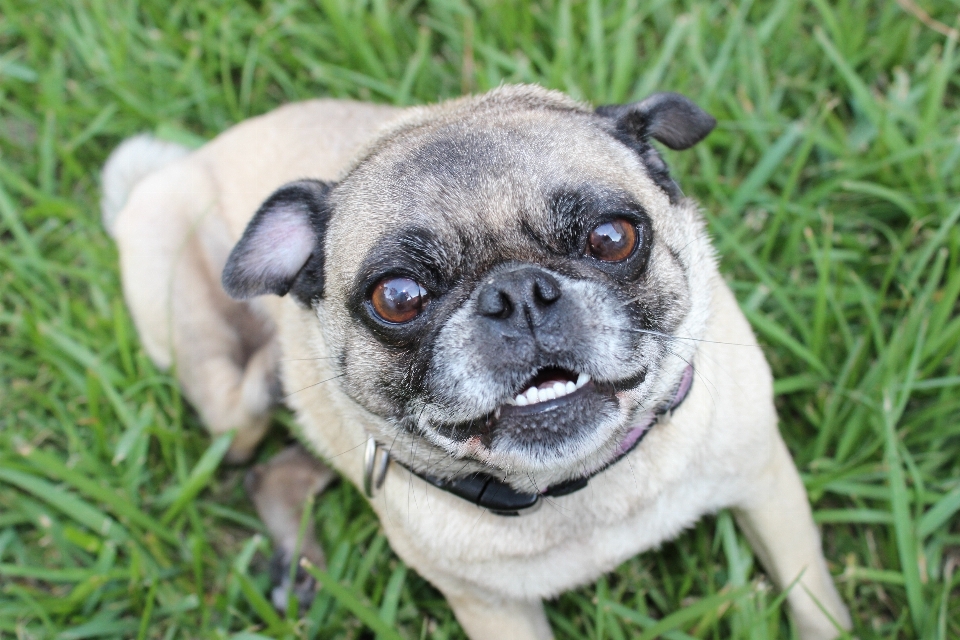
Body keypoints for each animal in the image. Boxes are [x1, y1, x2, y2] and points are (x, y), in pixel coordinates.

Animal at [105, 86, 852, 640]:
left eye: (612, 238)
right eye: (398, 297)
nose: (517, 294)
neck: (581, 485)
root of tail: (179, 165)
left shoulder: (768, 487)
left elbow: (814, 603)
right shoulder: (494, 611)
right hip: (221, 394)